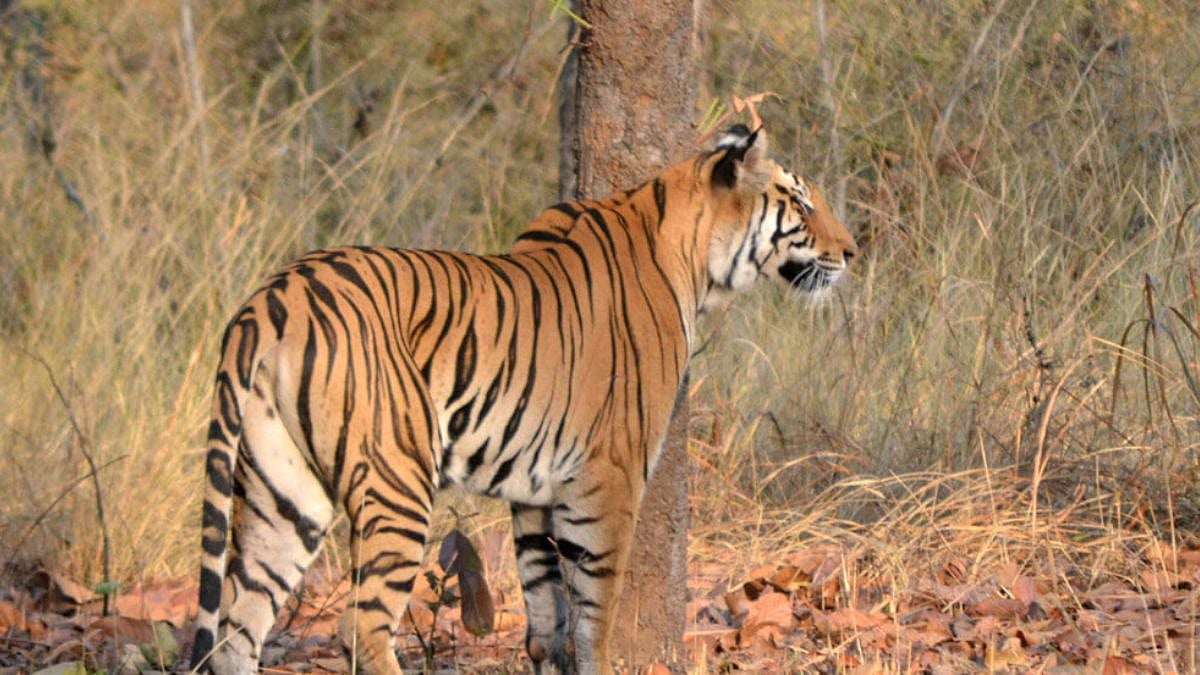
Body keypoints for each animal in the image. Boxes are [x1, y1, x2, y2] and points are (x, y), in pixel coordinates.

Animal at [190, 123, 857, 674]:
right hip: (396, 478)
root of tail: (269, 299)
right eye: (802, 203)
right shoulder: (608, 480)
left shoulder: (536, 493)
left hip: (284, 494)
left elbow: (546, 623)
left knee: (236, 631)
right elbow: (593, 622)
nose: (851, 251)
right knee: (359, 625)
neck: (692, 257)